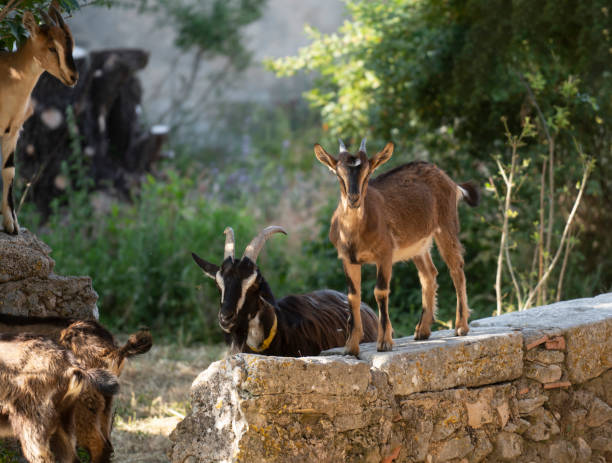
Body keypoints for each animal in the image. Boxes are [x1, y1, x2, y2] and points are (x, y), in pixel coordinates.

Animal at [0, 7, 77, 237]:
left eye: (72, 44)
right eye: (52, 47)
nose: (73, 77)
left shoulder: (13, 131)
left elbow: (9, 171)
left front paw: (12, 225)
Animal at [316, 138, 478, 356]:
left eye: (368, 173)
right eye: (338, 174)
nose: (354, 199)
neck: (355, 233)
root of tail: (450, 180)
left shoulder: (385, 254)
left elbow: (380, 291)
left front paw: (384, 342)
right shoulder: (348, 259)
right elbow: (353, 296)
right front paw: (350, 346)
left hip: (446, 225)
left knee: (456, 268)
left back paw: (461, 326)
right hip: (418, 245)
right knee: (429, 274)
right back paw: (422, 330)